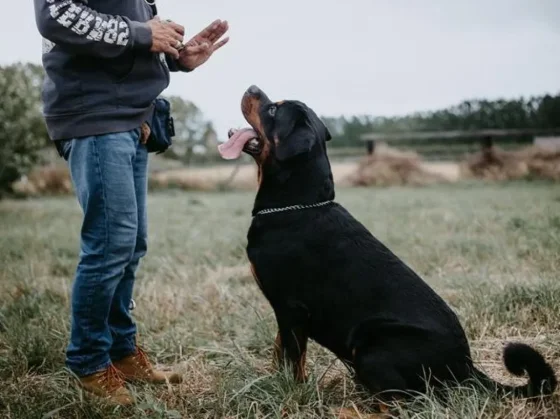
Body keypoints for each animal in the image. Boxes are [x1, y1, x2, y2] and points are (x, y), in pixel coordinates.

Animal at [218, 85, 556, 404]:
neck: (297, 204)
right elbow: (279, 354)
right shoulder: (285, 314)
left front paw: (288, 393)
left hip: (372, 347)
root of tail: (467, 368)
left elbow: (292, 361)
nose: (252, 87)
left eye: (273, 110)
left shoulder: (291, 309)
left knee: (402, 402)